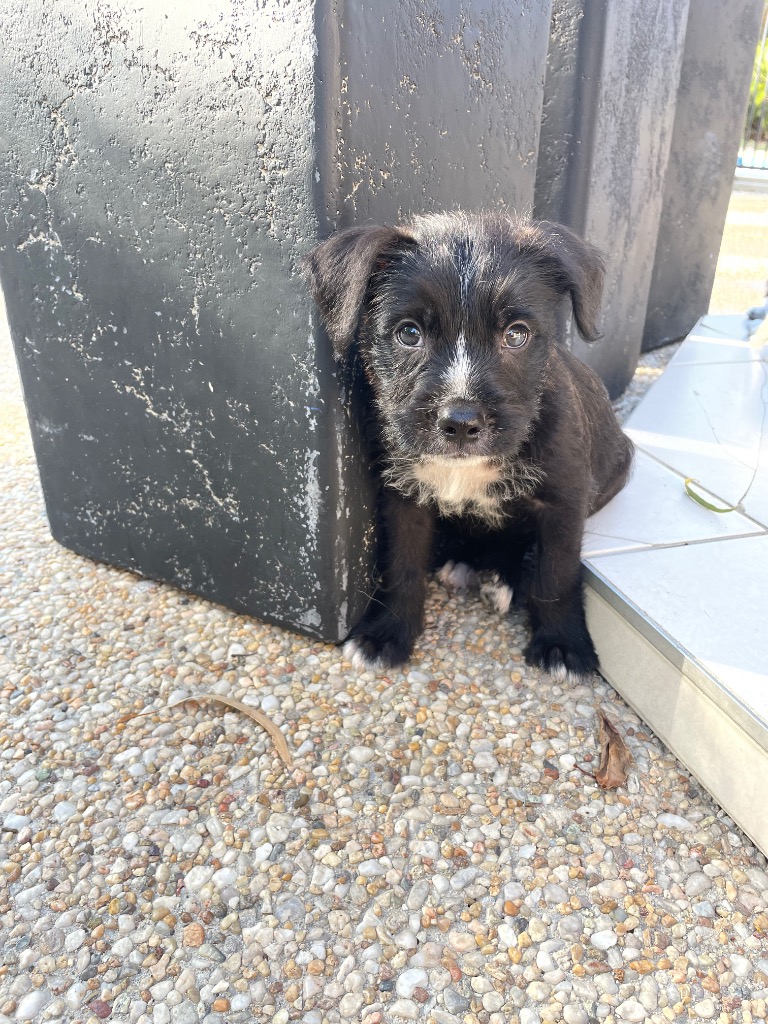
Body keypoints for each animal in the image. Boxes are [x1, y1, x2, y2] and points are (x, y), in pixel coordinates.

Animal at [303, 211, 633, 679]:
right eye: (409, 333)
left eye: (516, 335)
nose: (460, 423)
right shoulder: (404, 495)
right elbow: (402, 564)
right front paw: (387, 632)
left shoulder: (565, 500)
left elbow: (556, 573)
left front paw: (562, 644)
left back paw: (500, 577)